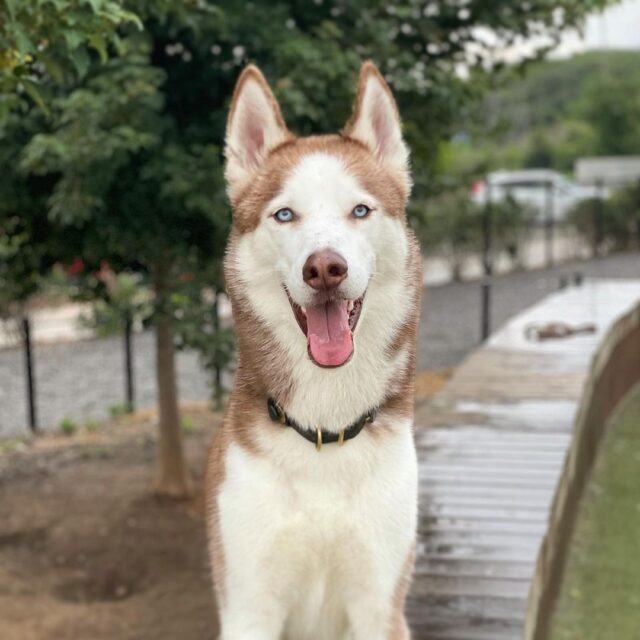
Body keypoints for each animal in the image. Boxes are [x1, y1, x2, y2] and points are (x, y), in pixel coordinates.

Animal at [205, 61, 422, 640]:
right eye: (285, 215)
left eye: (360, 210)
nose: (324, 268)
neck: (325, 429)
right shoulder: (248, 605)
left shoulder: (380, 603)